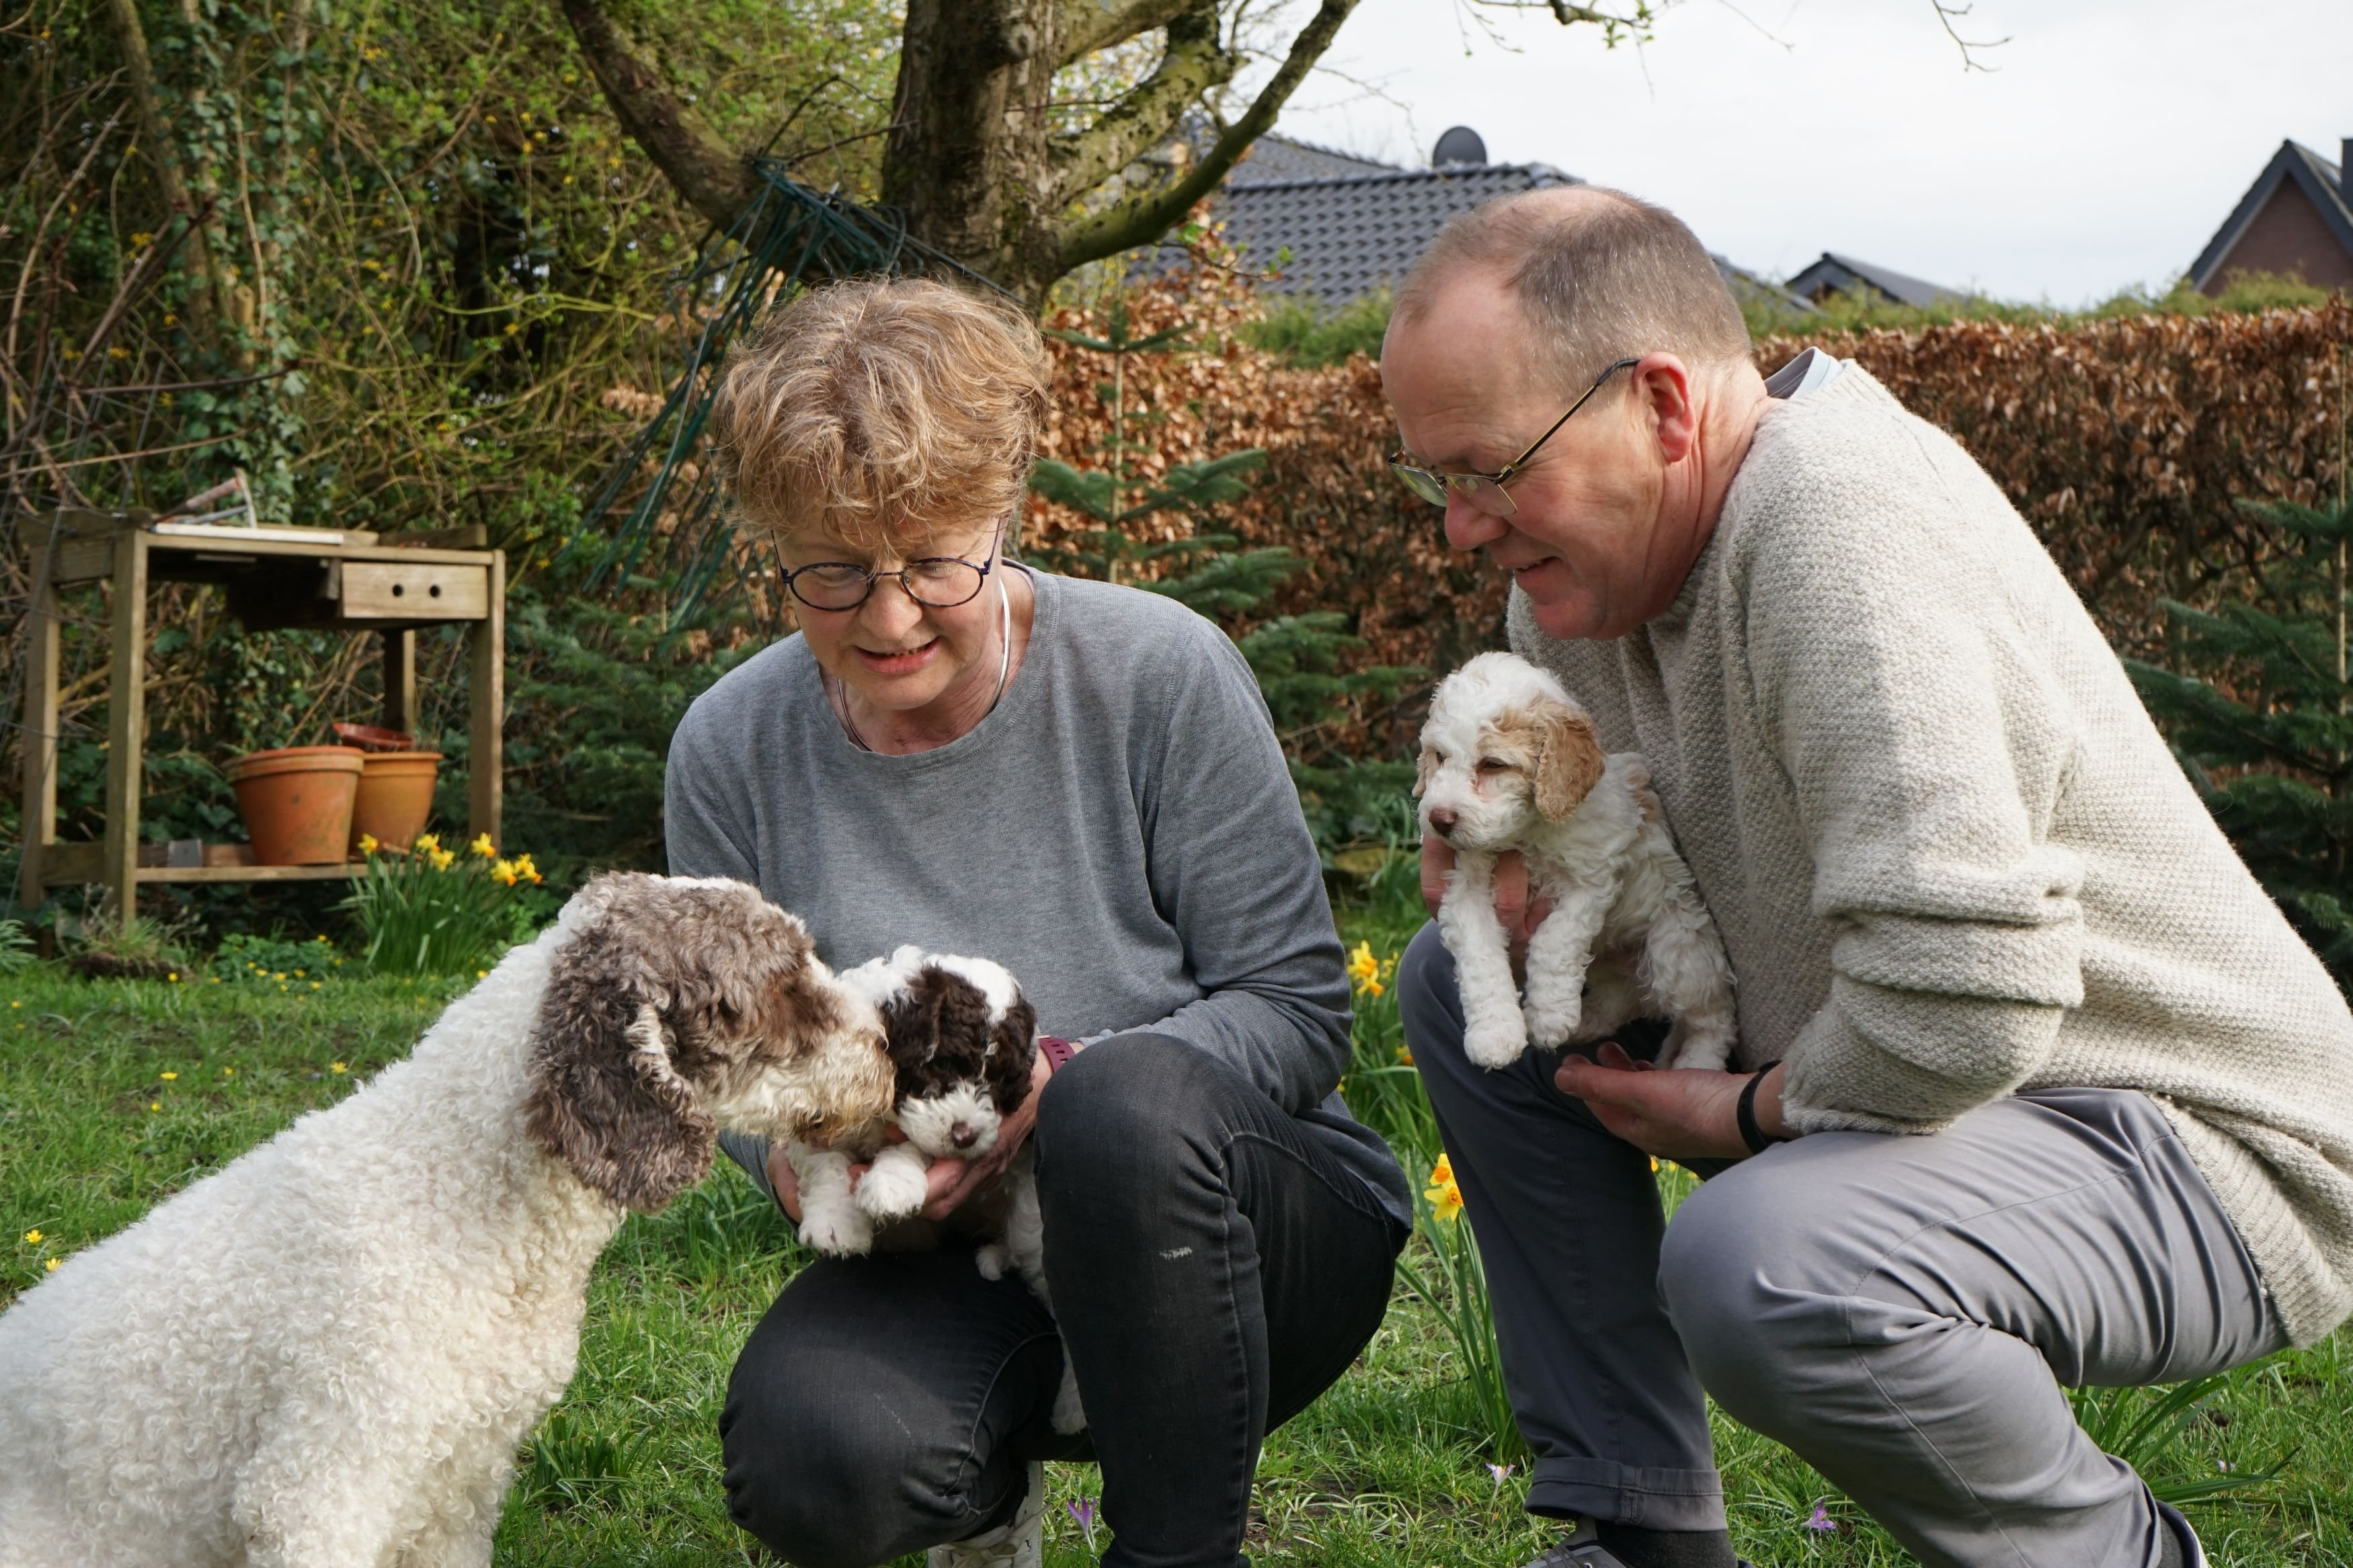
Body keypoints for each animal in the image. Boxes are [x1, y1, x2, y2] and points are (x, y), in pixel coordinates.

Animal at [1402, 653, 1741, 1081]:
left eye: (1493, 764)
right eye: (1439, 757)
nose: (1439, 819)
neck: (1527, 834)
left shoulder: (1592, 880)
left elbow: (1555, 939)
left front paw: (1548, 1016)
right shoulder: (1464, 889)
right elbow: (1480, 959)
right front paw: (1494, 1035)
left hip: (1679, 948)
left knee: (1713, 1018)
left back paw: (1697, 1067)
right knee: (1625, 996)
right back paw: (1586, 1024)